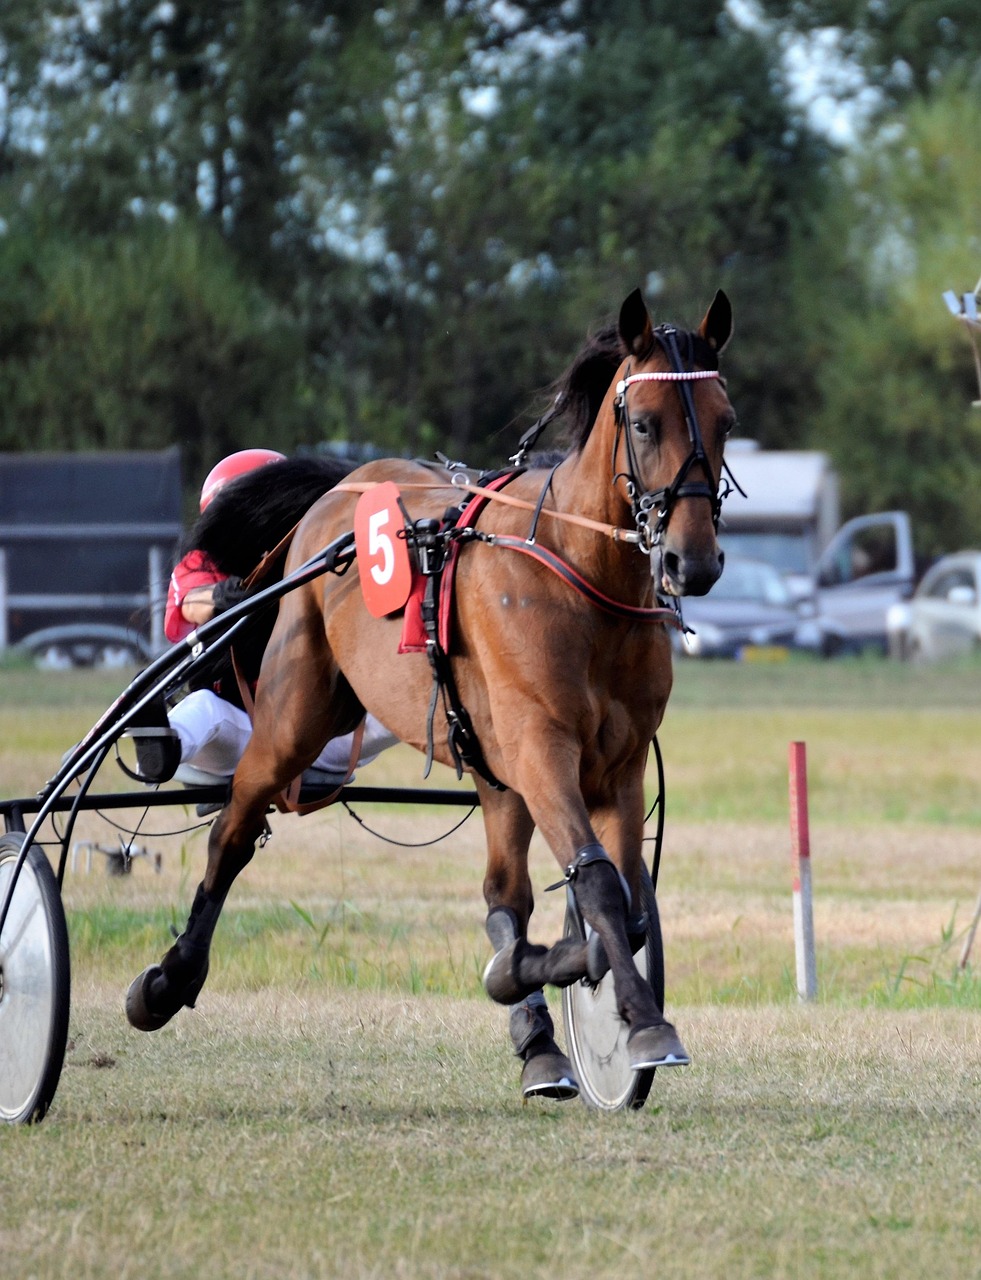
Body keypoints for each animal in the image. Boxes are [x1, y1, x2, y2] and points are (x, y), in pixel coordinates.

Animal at [126, 288, 732, 1100]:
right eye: (643, 422)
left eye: (726, 419)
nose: (692, 562)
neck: (579, 577)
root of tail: (344, 483)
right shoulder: (543, 749)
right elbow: (603, 891)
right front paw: (642, 1023)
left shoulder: (616, 764)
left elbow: (624, 909)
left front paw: (553, 976)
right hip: (293, 716)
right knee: (232, 828)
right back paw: (167, 979)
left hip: (490, 766)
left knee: (503, 895)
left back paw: (536, 1030)